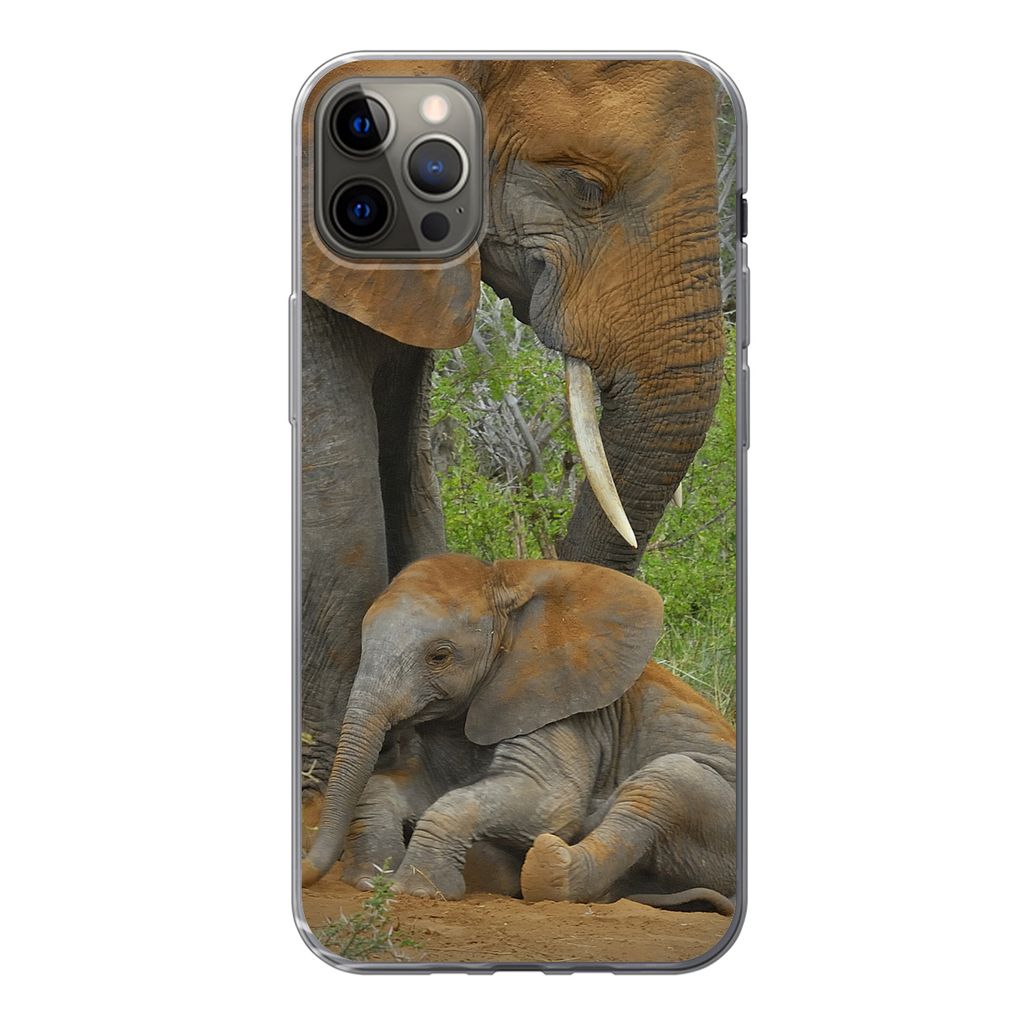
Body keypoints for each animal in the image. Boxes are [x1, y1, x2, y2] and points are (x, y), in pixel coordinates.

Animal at [301, 554, 736, 913]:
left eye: (439, 656)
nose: (305, 872)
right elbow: (407, 787)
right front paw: (370, 880)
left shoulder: (561, 710)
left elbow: (550, 802)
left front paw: (418, 891)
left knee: (661, 784)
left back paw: (547, 864)